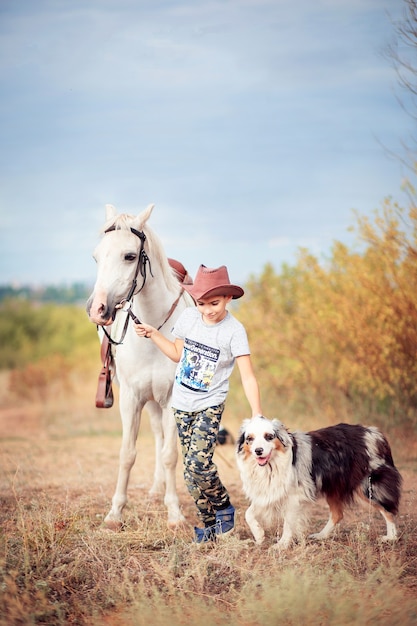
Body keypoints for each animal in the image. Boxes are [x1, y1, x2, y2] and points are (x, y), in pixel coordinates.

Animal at [88, 204, 192, 528]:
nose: (96, 310)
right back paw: (156, 489)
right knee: (157, 435)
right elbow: (127, 453)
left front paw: (175, 513)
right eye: (96, 256)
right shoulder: (131, 398)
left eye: (130, 256)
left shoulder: (171, 399)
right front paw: (115, 513)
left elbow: (170, 454)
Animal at [236, 414, 402, 544]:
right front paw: (259, 534)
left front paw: (282, 545)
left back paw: (391, 537)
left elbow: (288, 523)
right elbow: (248, 514)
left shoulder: (294, 496)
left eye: (269, 437)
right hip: (334, 486)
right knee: (337, 514)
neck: (271, 465)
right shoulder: (269, 491)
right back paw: (321, 535)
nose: (258, 451)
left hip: (368, 486)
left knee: (388, 511)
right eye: (250, 438)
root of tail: (376, 433)